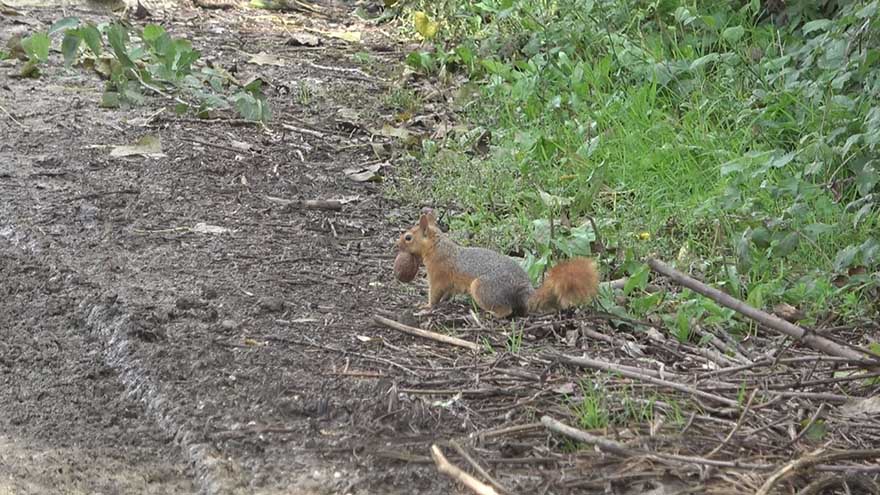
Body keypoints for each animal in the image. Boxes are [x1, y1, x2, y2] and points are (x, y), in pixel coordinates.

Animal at [398, 212, 600, 318]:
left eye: (408, 237)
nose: (396, 244)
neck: (437, 246)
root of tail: (522, 290)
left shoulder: (438, 273)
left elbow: (435, 294)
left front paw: (426, 306)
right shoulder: (448, 282)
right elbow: (447, 293)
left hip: (482, 288)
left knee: (506, 311)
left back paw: (488, 314)